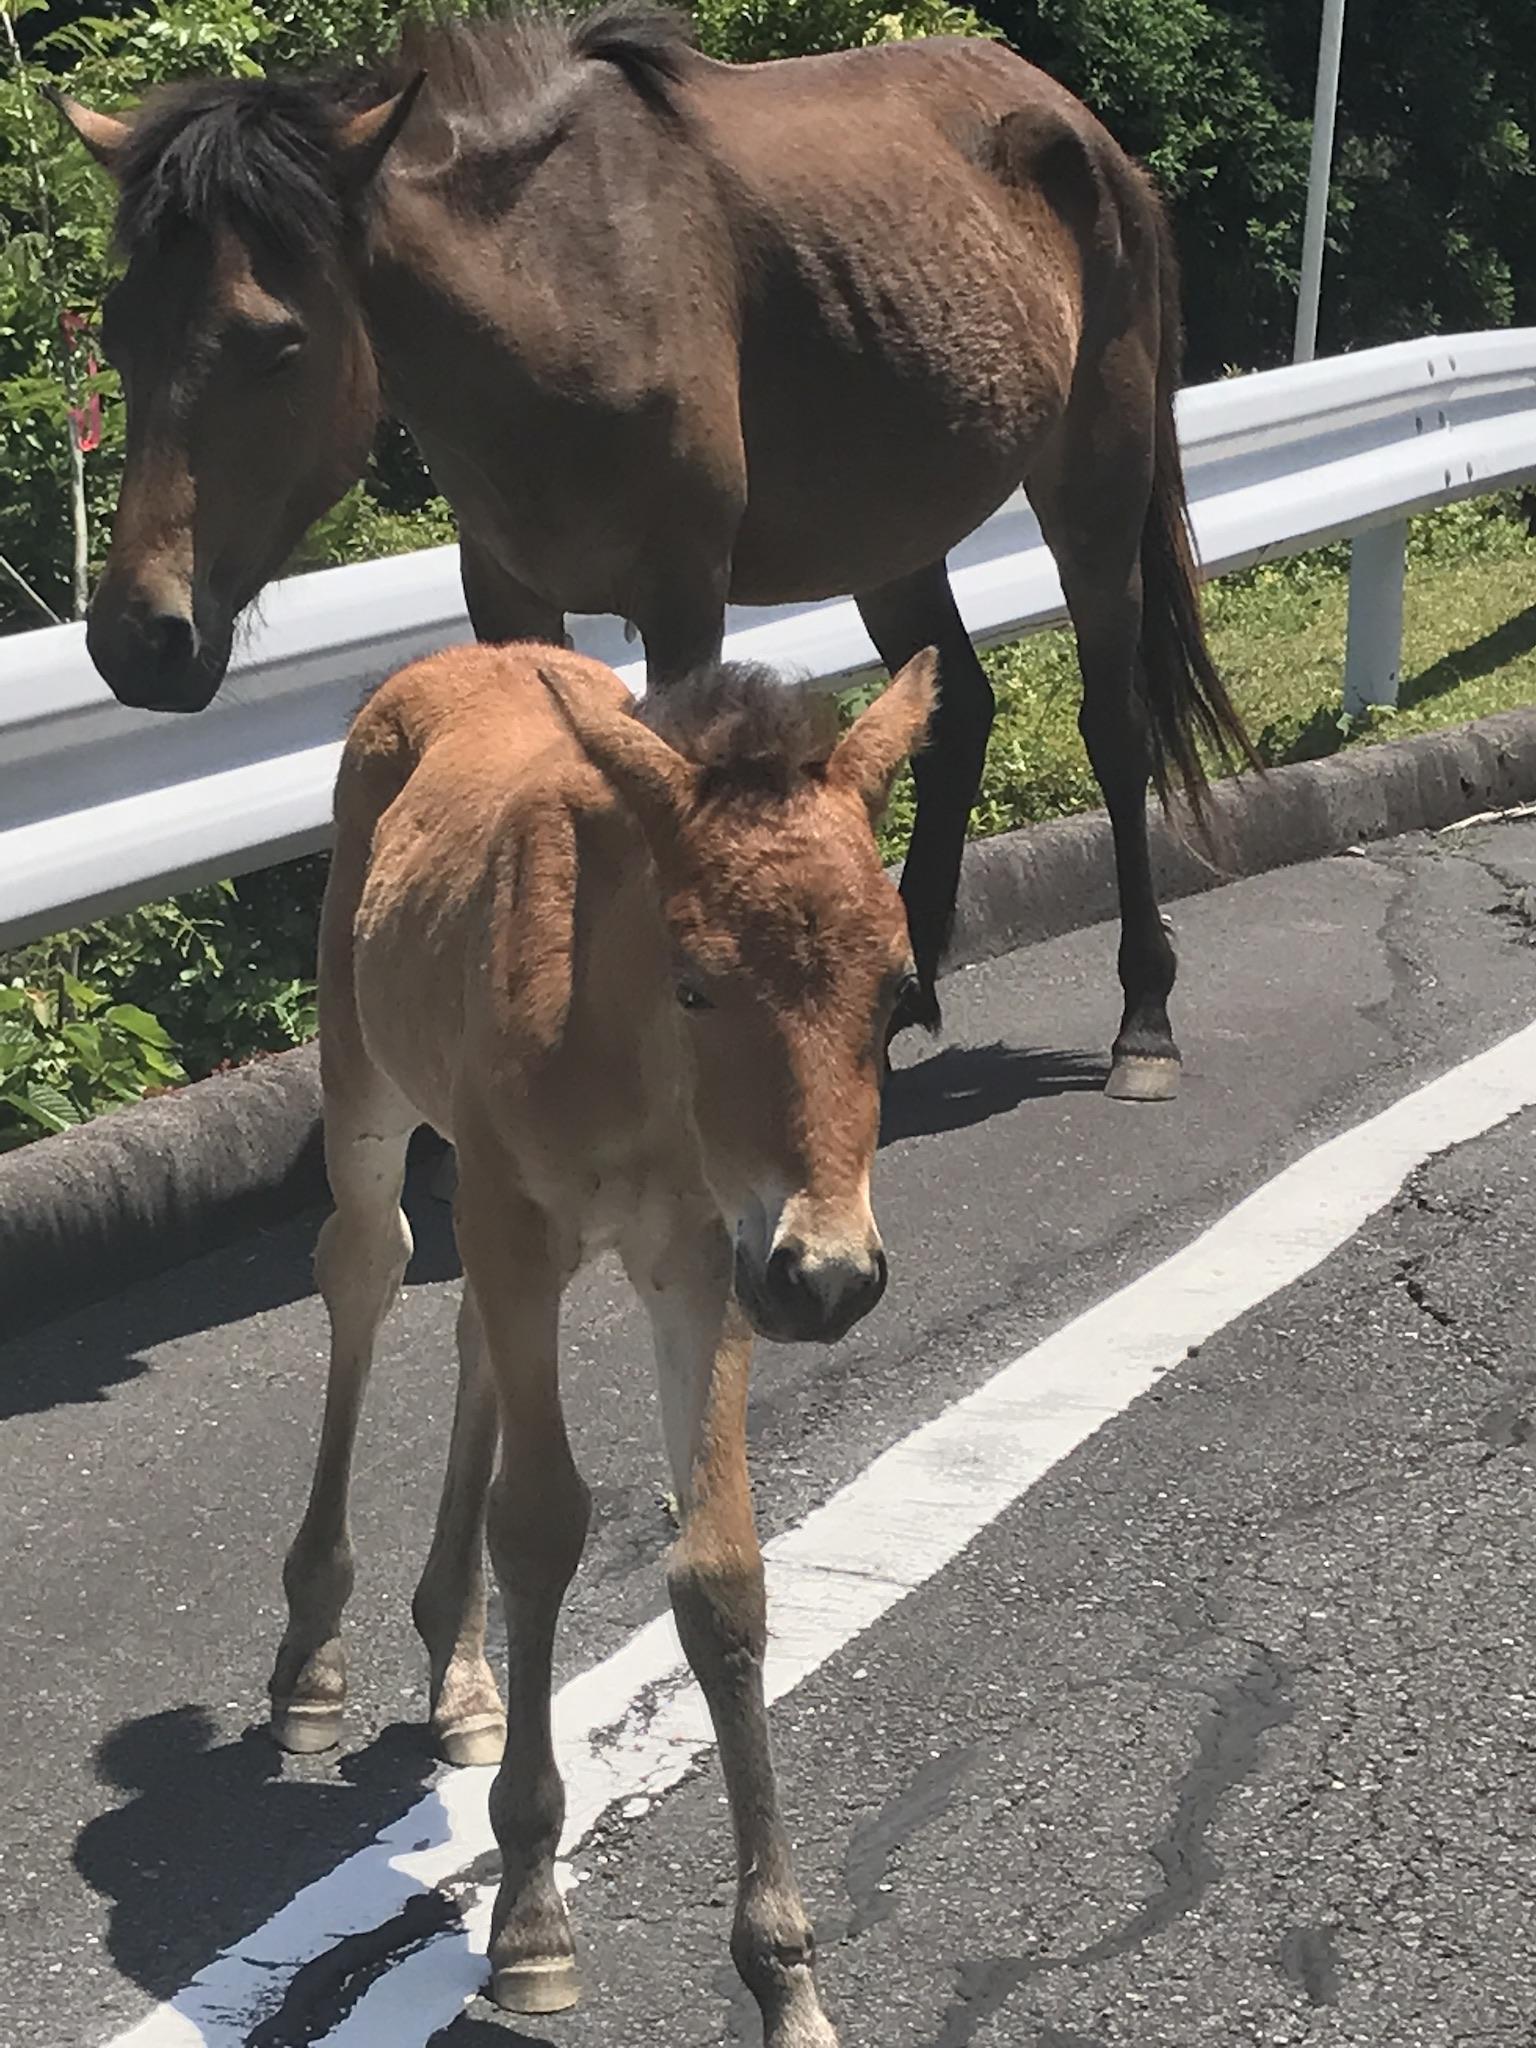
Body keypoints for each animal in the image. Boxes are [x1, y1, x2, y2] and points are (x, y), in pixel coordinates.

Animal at [264, 634, 937, 2031]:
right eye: (697, 981)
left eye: (899, 989)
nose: (832, 1279)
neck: (624, 1044)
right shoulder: (527, 1216)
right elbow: (540, 1522)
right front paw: (529, 1909)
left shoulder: (710, 1254)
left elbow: (720, 1572)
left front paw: (784, 1968)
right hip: (366, 1077)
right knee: (365, 1269)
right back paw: (313, 1656)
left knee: (467, 1328)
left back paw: (460, 1673)